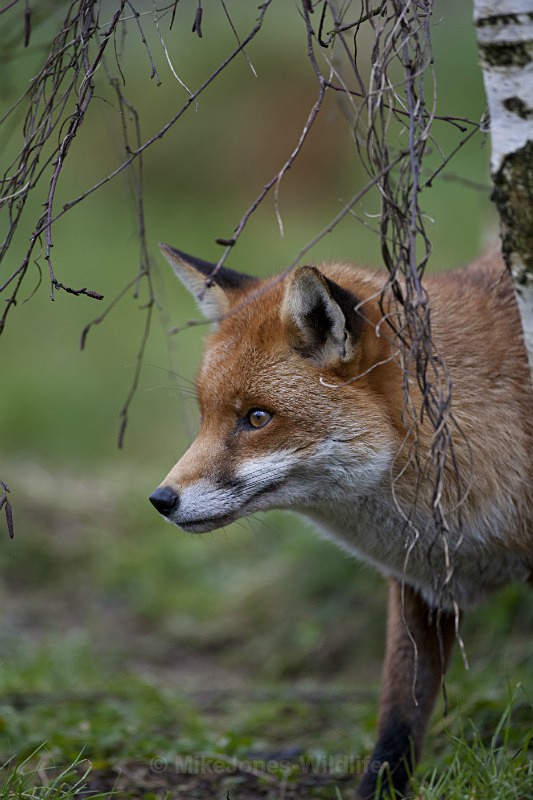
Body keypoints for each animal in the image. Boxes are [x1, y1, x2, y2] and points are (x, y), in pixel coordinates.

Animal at [149, 243, 533, 799]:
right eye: (204, 417)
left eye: (257, 418)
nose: (161, 500)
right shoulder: (419, 586)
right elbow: (398, 718)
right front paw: (379, 791)